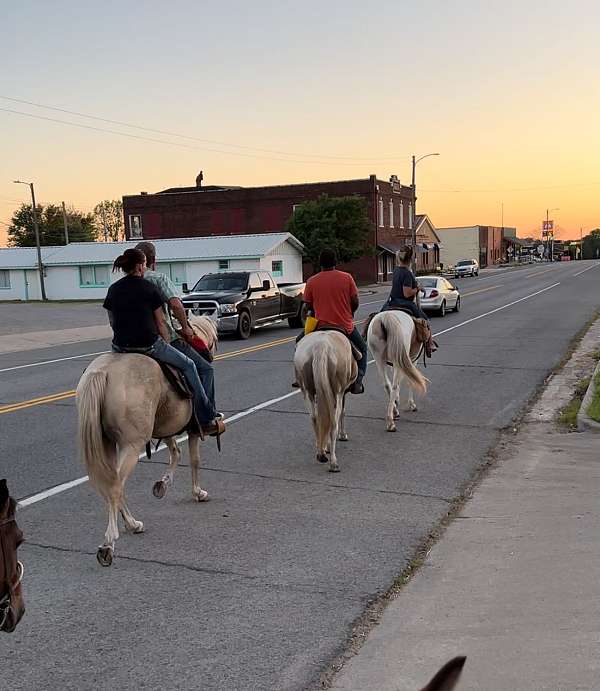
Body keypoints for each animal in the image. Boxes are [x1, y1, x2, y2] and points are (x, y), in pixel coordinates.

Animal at [77, 316, 218, 572]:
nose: (211, 353)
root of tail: (102, 372)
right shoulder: (193, 429)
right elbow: (194, 459)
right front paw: (198, 492)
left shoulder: (166, 425)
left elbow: (175, 452)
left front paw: (162, 485)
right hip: (132, 445)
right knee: (115, 487)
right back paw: (108, 544)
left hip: (108, 444)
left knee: (114, 483)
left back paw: (132, 524)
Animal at [294, 332, 358, 474]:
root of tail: (320, 346)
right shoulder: (342, 392)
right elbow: (342, 413)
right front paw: (342, 436)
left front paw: (324, 446)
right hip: (337, 391)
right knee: (333, 423)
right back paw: (333, 463)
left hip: (308, 390)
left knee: (315, 418)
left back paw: (321, 453)